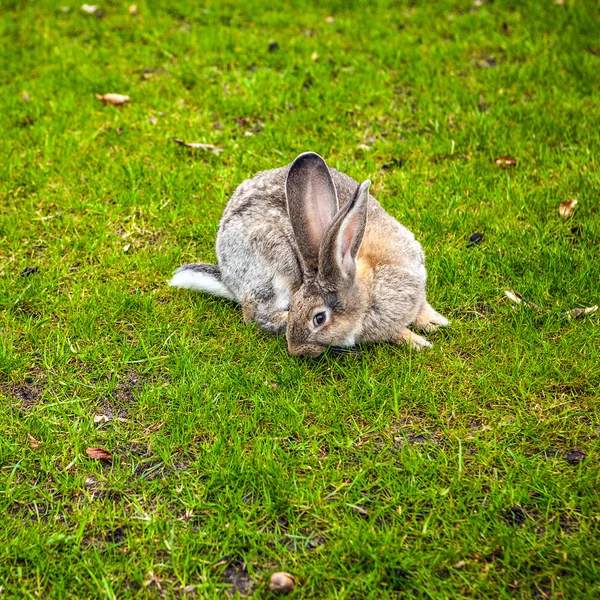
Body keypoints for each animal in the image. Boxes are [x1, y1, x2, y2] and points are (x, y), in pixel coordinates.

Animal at [171, 151, 448, 356]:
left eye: (319, 319)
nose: (295, 350)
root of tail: (228, 278)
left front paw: (435, 323)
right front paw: (417, 341)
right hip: (275, 263)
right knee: (257, 314)